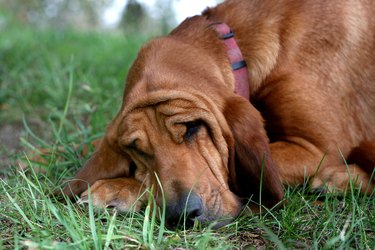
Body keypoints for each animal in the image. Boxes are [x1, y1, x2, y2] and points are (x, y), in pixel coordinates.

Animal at [61, 0, 375, 227]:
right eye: (138, 150)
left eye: (192, 127)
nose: (183, 215)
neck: (236, 47)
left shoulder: (317, 147)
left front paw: (118, 187)